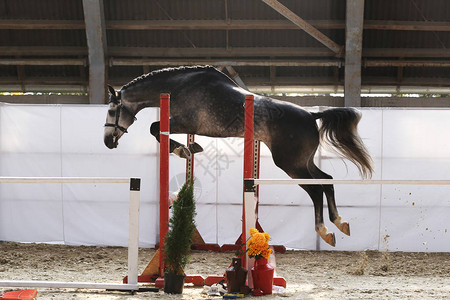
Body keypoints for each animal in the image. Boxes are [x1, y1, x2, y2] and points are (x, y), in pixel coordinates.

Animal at [104, 65, 372, 246]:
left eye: (111, 111)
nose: (107, 142)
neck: (179, 86)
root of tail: (310, 115)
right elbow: (160, 130)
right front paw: (189, 148)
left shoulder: (184, 121)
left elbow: (155, 127)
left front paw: (182, 149)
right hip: (303, 162)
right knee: (326, 180)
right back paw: (340, 223)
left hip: (290, 164)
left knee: (316, 189)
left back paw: (324, 231)